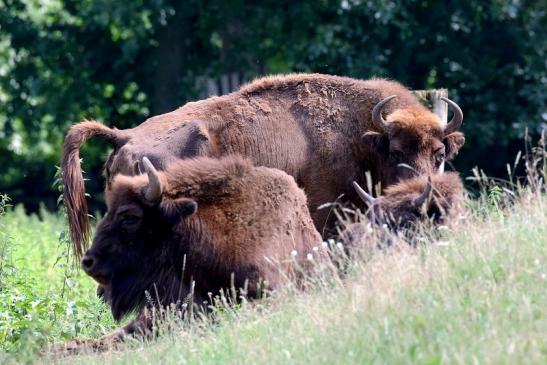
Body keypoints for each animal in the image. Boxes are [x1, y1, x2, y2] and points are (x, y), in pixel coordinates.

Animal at [62, 73, 464, 256]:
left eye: (439, 154)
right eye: (395, 151)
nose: (424, 194)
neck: (360, 132)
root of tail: (125, 135)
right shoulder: (327, 212)